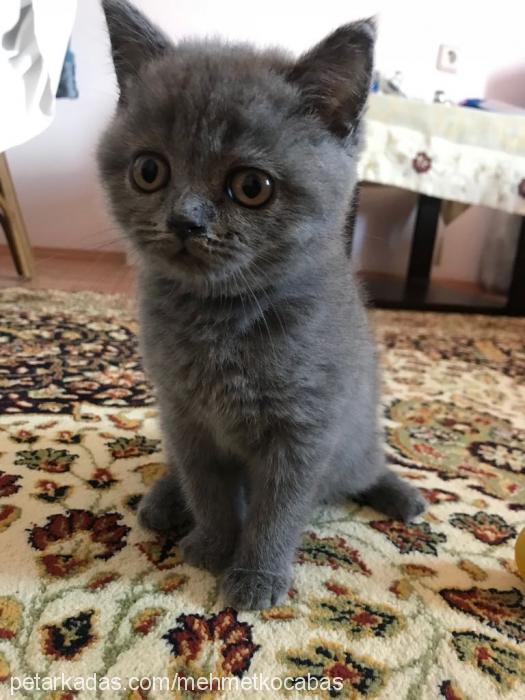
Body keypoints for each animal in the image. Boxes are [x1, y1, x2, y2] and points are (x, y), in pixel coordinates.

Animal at [99, 0, 426, 608]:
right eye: (150, 170)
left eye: (252, 186)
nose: (185, 220)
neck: (221, 322)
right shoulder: (184, 415)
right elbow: (206, 485)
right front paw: (211, 543)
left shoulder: (304, 428)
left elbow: (278, 508)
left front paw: (256, 574)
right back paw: (164, 499)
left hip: (354, 435)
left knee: (363, 465)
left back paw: (401, 495)